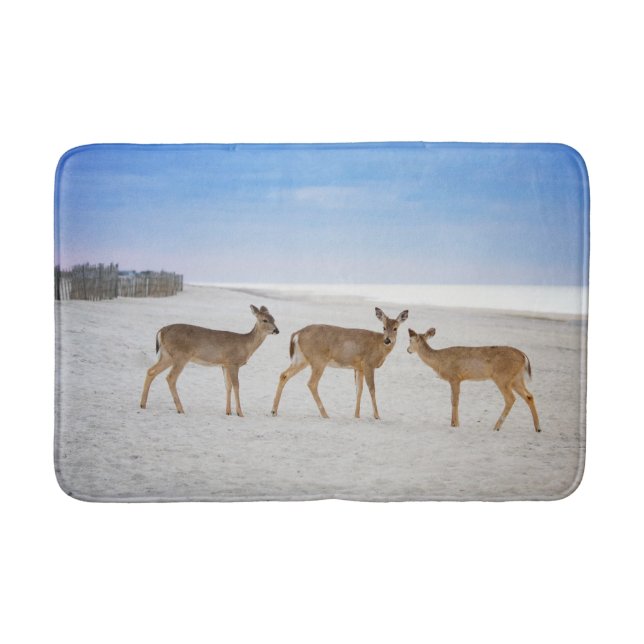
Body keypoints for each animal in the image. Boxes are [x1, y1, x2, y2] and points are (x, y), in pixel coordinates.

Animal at [140, 305, 279, 415]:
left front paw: (228, 412)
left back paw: (142, 404)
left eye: (274, 319)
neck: (245, 345)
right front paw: (240, 413)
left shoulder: (224, 364)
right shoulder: (233, 362)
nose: (276, 330)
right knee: (170, 377)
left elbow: (227, 386)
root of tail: (161, 331)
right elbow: (236, 385)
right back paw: (180, 409)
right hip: (180, 356)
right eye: (264, 320)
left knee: (151, 371)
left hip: (167, 355)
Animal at [271, 307, 408, 419]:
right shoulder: (368, 364)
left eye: (395, 328)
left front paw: (357, 415)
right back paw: (325, 414)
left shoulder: (359, 367)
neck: (379, 346)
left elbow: (359, 390)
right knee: (311, 383)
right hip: (318, 360)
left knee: (284, 375)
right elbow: (372, 389)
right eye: (384, 327)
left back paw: (274, 411)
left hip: (301, 359)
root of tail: (297, 334)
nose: (387, 340)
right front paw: (377, 416)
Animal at [406, 327, 540, 432]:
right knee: (529, 396)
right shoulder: (454, 379)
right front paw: (453, 423)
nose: (408, 350)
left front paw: (456, 424)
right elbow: (452, 399)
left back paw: (496, 427)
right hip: (516, 379)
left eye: (410, 340)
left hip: (503, 377)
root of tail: (524, 356)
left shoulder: (455, 377)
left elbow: (455, 401)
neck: (439, 361)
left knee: (511, 399)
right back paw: (538, 427)